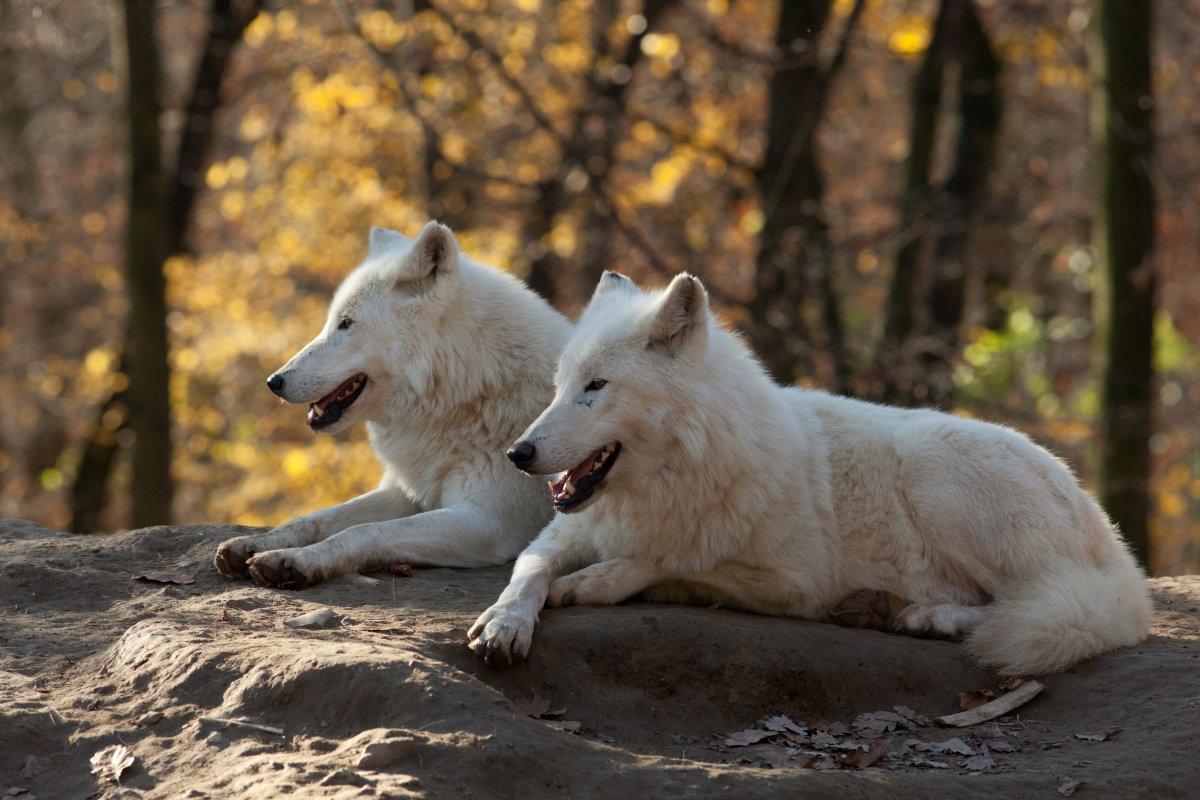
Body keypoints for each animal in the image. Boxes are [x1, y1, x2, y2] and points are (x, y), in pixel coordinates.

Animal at [214, 221, 571, 585]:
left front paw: (296, 560)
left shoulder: (488, 520)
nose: (274, 382)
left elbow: (363, 531)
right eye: (330, 322)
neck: (470, 387)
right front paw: (256, 544)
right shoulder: (405, 491)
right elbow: (314, 519)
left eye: (346, 323)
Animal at [468, 271, 1152, 676]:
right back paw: (884, 608)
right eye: (559, 385)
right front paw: (503, 623)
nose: (518, 453)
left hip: (933, 473)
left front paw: (594, 582)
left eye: (596, 387)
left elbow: (670, 563)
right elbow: (526, 572)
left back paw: (921, 617)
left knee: (1025, 608)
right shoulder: (564, 530)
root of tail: (1119, 554)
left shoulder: (795, 582)